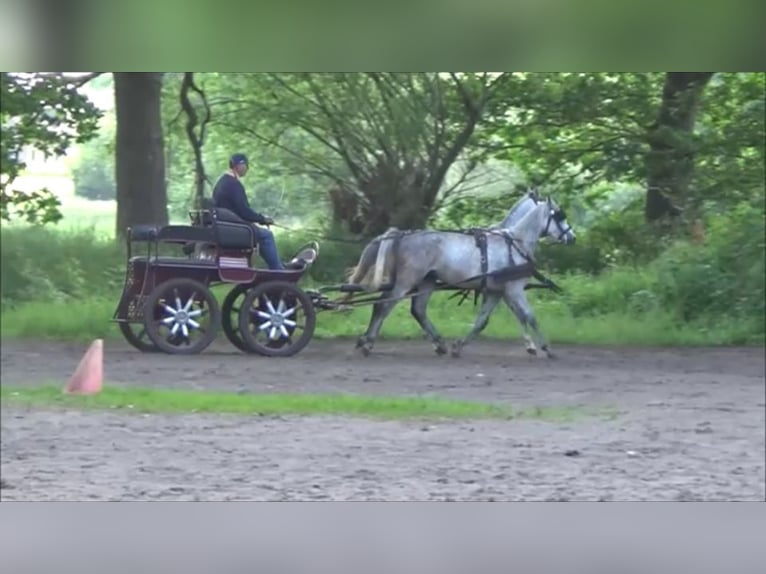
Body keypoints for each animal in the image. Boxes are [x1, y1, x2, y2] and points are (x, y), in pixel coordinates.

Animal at [346, 196, 576, 360]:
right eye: (559, 216)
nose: (572, 238)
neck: (514, 243)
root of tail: (403, 235)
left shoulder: (496, 292)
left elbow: (483, 321)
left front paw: (459, 346)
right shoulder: (514, 289)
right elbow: (529, 316)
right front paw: (546, 347)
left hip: (427, 281)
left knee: (418, 310)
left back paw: (439, 344)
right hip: (406, 281)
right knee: (383, 306)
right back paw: (368, 342)